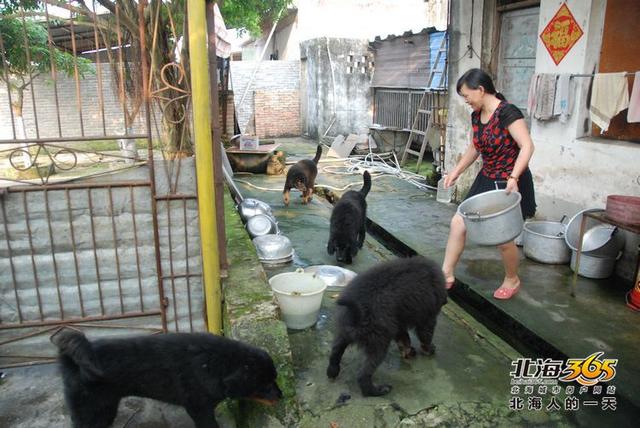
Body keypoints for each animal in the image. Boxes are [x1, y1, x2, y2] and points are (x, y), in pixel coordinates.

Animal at [53, 330, 284, 426]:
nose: (281, 396)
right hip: (95, 409)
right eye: (263, 385)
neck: (215, 363)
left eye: (274, 378)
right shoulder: (199, 408)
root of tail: (70, 360)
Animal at [324, 256, 444, 396]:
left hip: (344, 332)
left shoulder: (397, 323)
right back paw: (377, 390)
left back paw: (332, 372)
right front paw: (428, 349)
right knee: (363, 374)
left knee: (335, 351)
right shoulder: (427, 317)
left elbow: (404, 338)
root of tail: (357, 313)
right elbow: (425, 335)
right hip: (378, 340)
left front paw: (408, 351)